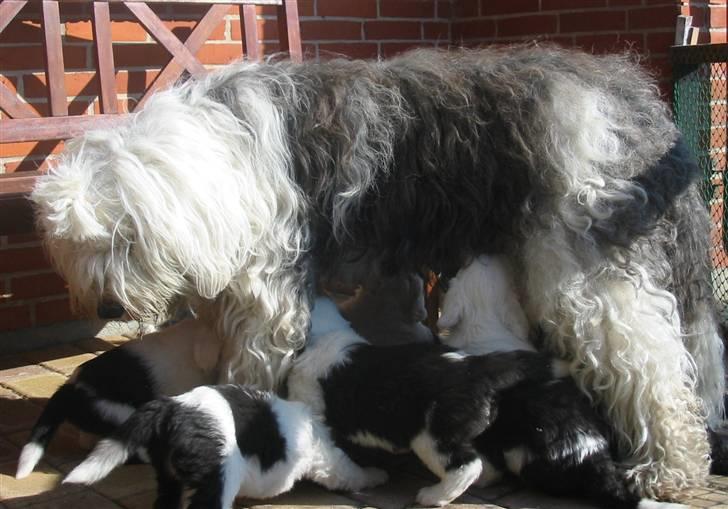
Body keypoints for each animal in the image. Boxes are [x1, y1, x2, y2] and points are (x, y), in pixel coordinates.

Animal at [65, 382, 390, 506]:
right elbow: (351, 472)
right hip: (220, 474)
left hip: (168, 475)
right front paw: (378, 476)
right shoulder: (326, 458)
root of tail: (170, 407)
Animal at [288, 296, 564, 506]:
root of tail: (475, 368)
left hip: (432, 436)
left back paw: (433, 496)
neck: (321, 337)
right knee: (488, 465)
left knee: (466, 466)